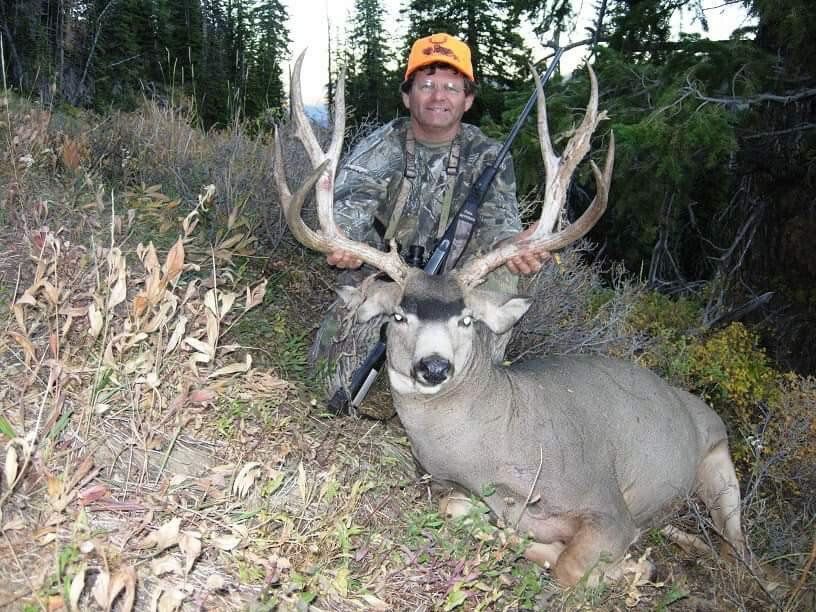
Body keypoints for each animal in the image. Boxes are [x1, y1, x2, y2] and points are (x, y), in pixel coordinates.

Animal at [273, 51, 750, 587]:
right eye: (398, 315)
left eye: (465, 320)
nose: (433, 367)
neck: (495, 450)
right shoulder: (466, 491)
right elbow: (463, 511)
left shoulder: (608, 505)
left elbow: (570, 569)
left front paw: (628, 566)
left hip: (722, 469)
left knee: (737, 548)